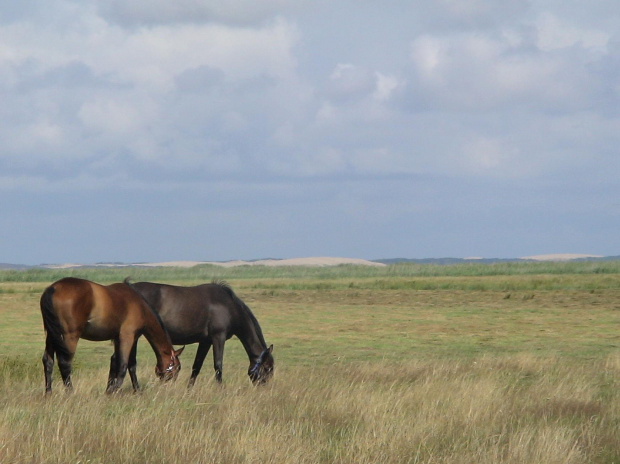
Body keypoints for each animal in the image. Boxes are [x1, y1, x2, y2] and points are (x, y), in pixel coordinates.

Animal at [39, 278, 182, 394]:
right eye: (176, 368)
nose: (169, 386)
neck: (140, 305)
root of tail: (53, 288)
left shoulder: (119, 339)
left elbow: (119, 363)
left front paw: (113, 390)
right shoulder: (128, 337)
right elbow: (124, 365)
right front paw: (116, 390)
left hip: (51, 336)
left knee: (48, 361)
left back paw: (48, 392)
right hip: (69, 336)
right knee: (65, 363)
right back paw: (70, 392)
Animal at [126, 280, 274, 386]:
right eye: (268, 368)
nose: (264, 388)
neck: (228, 306)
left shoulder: (205, 341)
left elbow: (197, 366)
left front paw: (189, 390)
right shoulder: (218, 337)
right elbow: (218, 365)